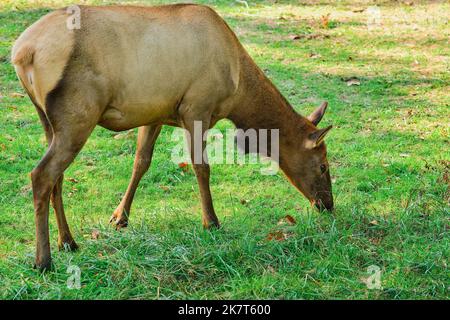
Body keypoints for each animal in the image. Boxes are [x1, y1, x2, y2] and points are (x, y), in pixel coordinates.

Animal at [11, 3, 334, 272]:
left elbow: (141, 162)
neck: (239, 91)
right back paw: (44, 260)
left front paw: (120, 217)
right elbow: (201, 167)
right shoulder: (197, 106)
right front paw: (211, 222)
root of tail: (22, 52)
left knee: (57, 177)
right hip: (78, 114)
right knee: (41, 174)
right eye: (323, 165)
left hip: (48, 120)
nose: (328, 205)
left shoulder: (154, 113)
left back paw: (68, 241)